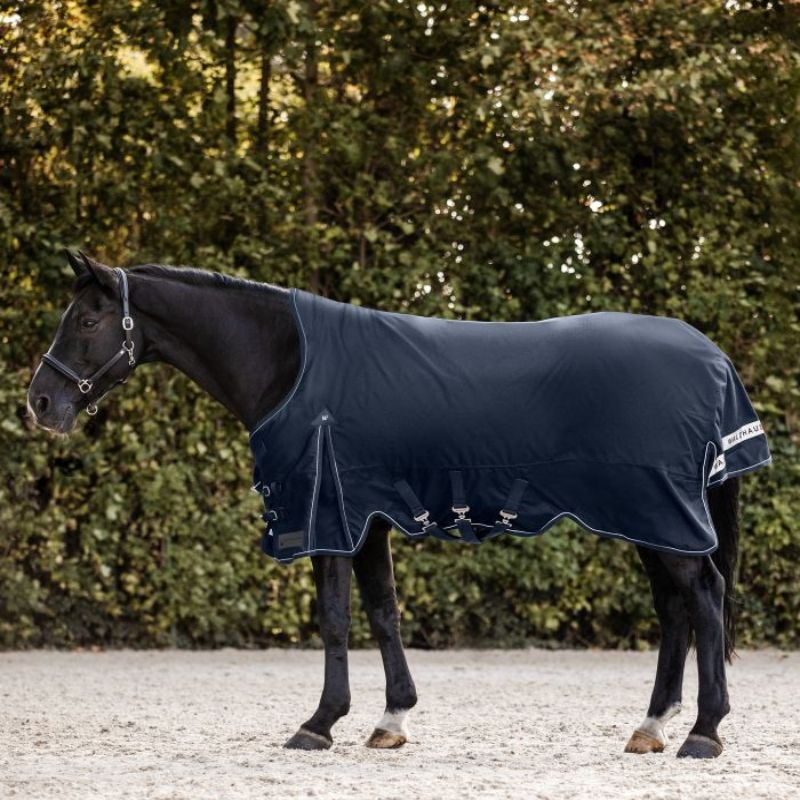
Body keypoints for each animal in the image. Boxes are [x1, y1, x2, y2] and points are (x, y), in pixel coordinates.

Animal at [27, 251, 768, 759]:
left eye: (88, 319)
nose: (40, 402)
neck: (292, 364)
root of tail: (711, 357)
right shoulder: (367, 520)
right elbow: (382, 612)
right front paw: (391, 719)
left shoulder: (329, 517)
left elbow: (334, 618)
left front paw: (319, 723)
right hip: (650, 519)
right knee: (675, 608)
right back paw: (652, 726)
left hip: (661, 513)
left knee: (704, 597)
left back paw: (704, 732)